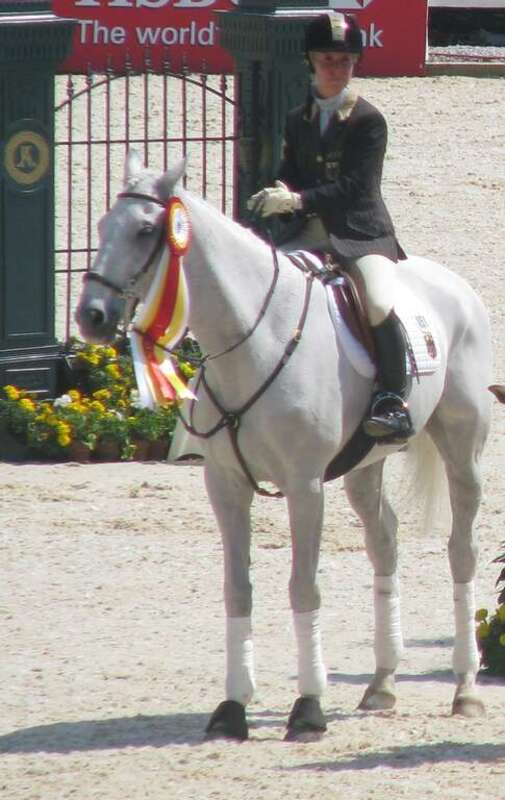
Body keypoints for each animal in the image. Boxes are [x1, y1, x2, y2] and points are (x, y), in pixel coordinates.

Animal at [76, 150, 493, 741]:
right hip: (365, 466)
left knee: (462, 551)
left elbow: (303, 588)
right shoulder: (225, 485)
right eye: (102, 227)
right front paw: (232, 708)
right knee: (384, 543)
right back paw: (382, 684)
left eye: (144, 230)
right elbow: (237, 588)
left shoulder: (305, 485)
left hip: (462, 450)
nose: (91, 316)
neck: (253, 339)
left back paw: (465, 689)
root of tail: (452, 283)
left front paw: (309, 708)